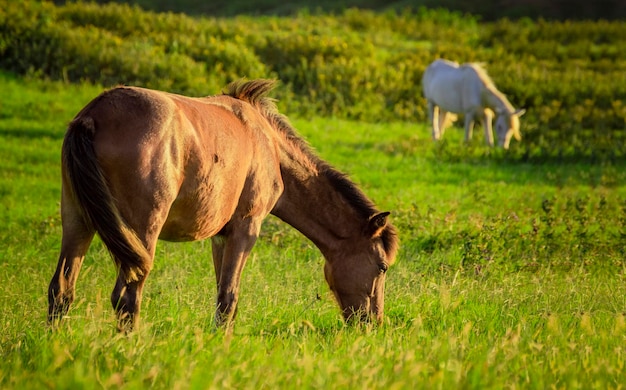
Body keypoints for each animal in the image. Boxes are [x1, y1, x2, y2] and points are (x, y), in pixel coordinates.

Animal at [48, 79, 400, 332]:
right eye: (382, 267)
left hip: (78, 221)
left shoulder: (220, 236)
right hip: (142, 231)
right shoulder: (247, 228)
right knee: (126, 297)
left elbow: (220, 294)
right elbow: (229, 296)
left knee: (61, 290)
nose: (373, 323)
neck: (268, 144)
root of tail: (95, 114)